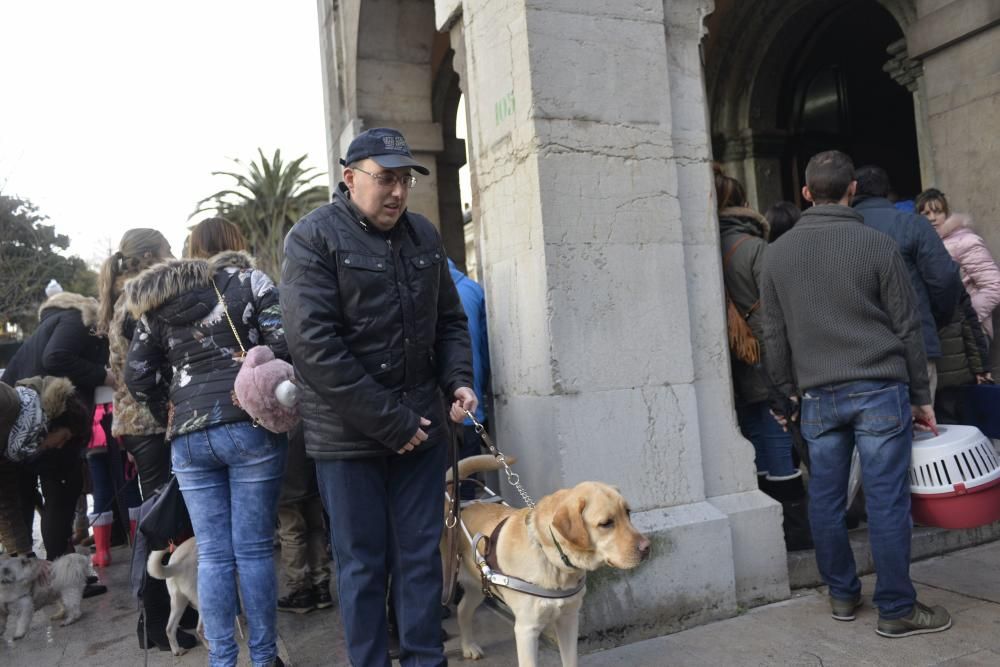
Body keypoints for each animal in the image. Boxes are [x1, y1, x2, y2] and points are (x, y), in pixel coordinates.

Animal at [450, 456, 652, 664]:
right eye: (606, 523)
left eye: (628, 512)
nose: (647, 547)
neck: (550, 557)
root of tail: (459, 507)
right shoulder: (526, 629)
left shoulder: (569, 619)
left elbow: (570, 660)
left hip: (478, 588)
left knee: (462, 609)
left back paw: (468, 646)